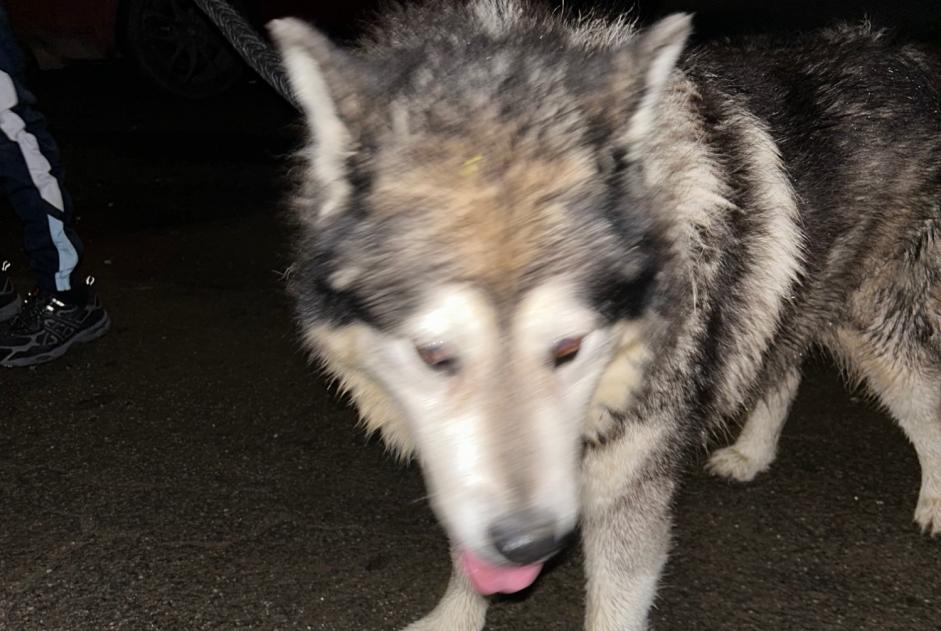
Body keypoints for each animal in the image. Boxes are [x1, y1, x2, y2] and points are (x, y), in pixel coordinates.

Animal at [264, 2, 940, 628]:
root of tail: (908, 56)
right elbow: (467, 557)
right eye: (433, 356)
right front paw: (455, 617)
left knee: (923, 403)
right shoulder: (462, 473)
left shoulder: (628, 487)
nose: (530, 544)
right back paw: (752, 454)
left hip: (877, 328)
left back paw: (934, 501)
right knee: (784, 368)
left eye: (569, 348)